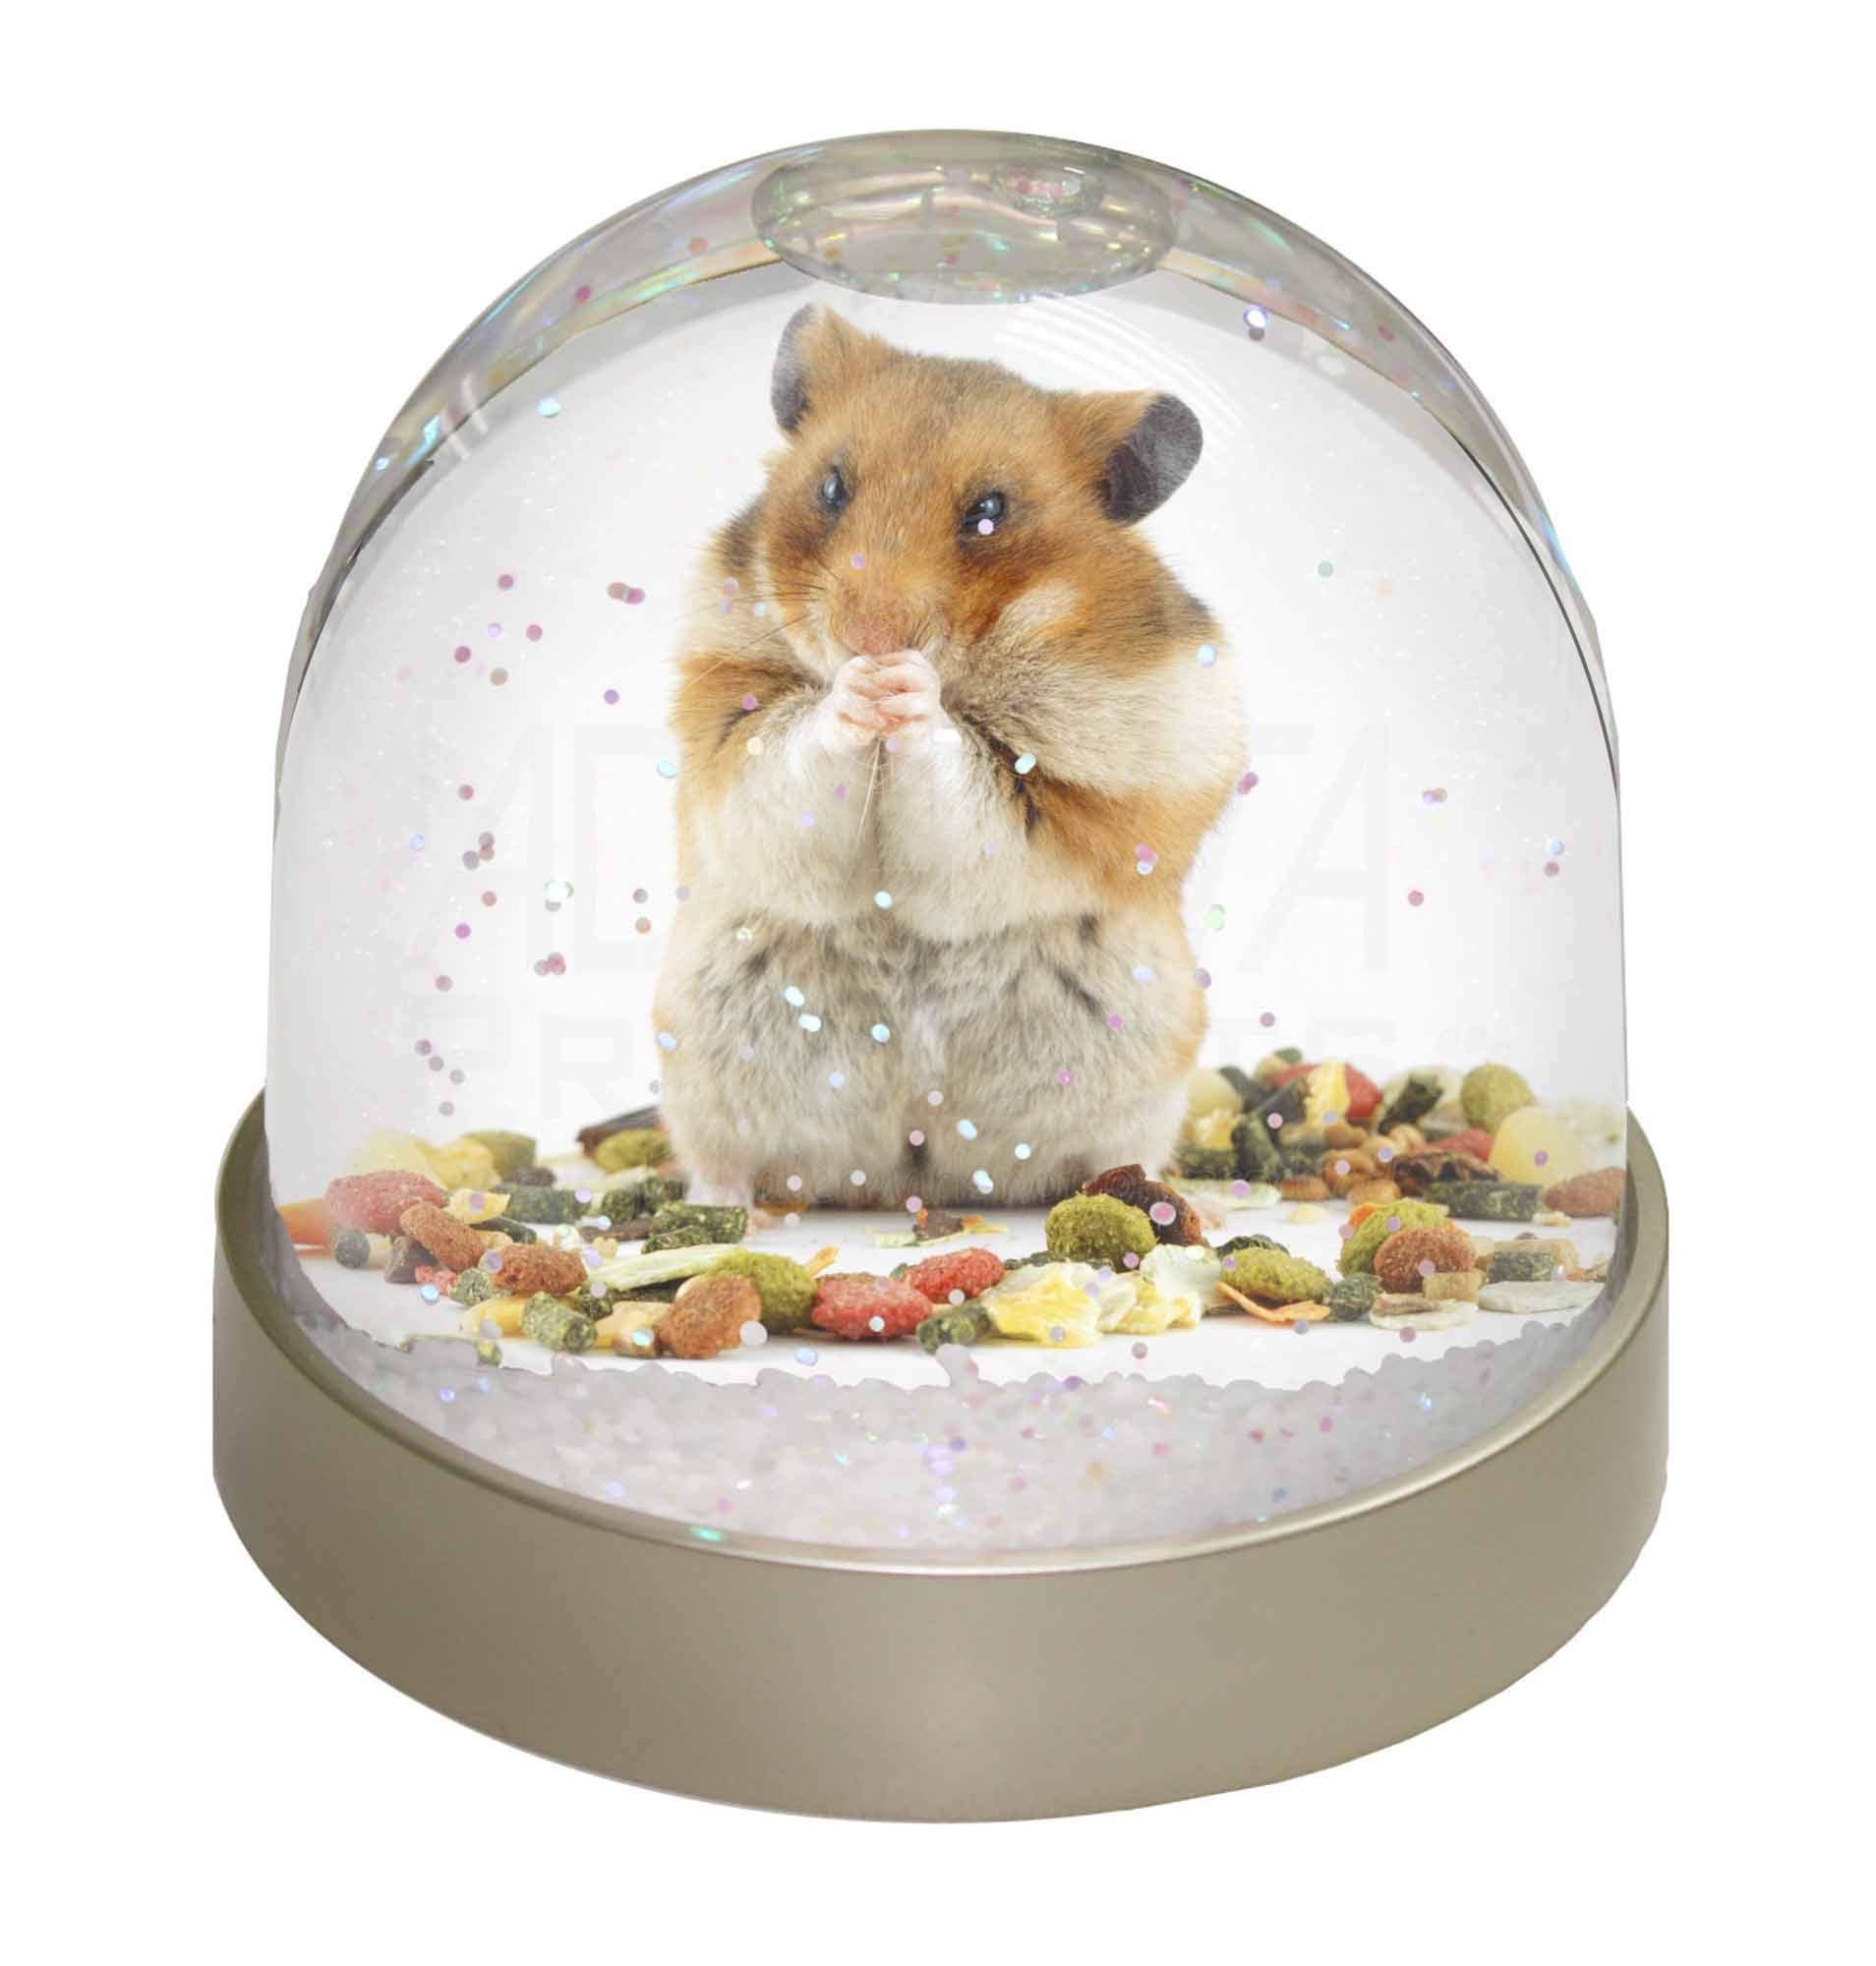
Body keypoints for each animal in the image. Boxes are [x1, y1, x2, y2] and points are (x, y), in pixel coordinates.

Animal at [653, 305, 1245, 1209]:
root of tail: (915, 1164)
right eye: (832, 488)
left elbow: (963, 774)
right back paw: (717, 1208)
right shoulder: (732, 743)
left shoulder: (1070, 801)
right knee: (729, 1162)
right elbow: (799, 752)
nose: (869, 637)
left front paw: (907, 686)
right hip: (703, 1056)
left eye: (990, 512)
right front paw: (858, 688)